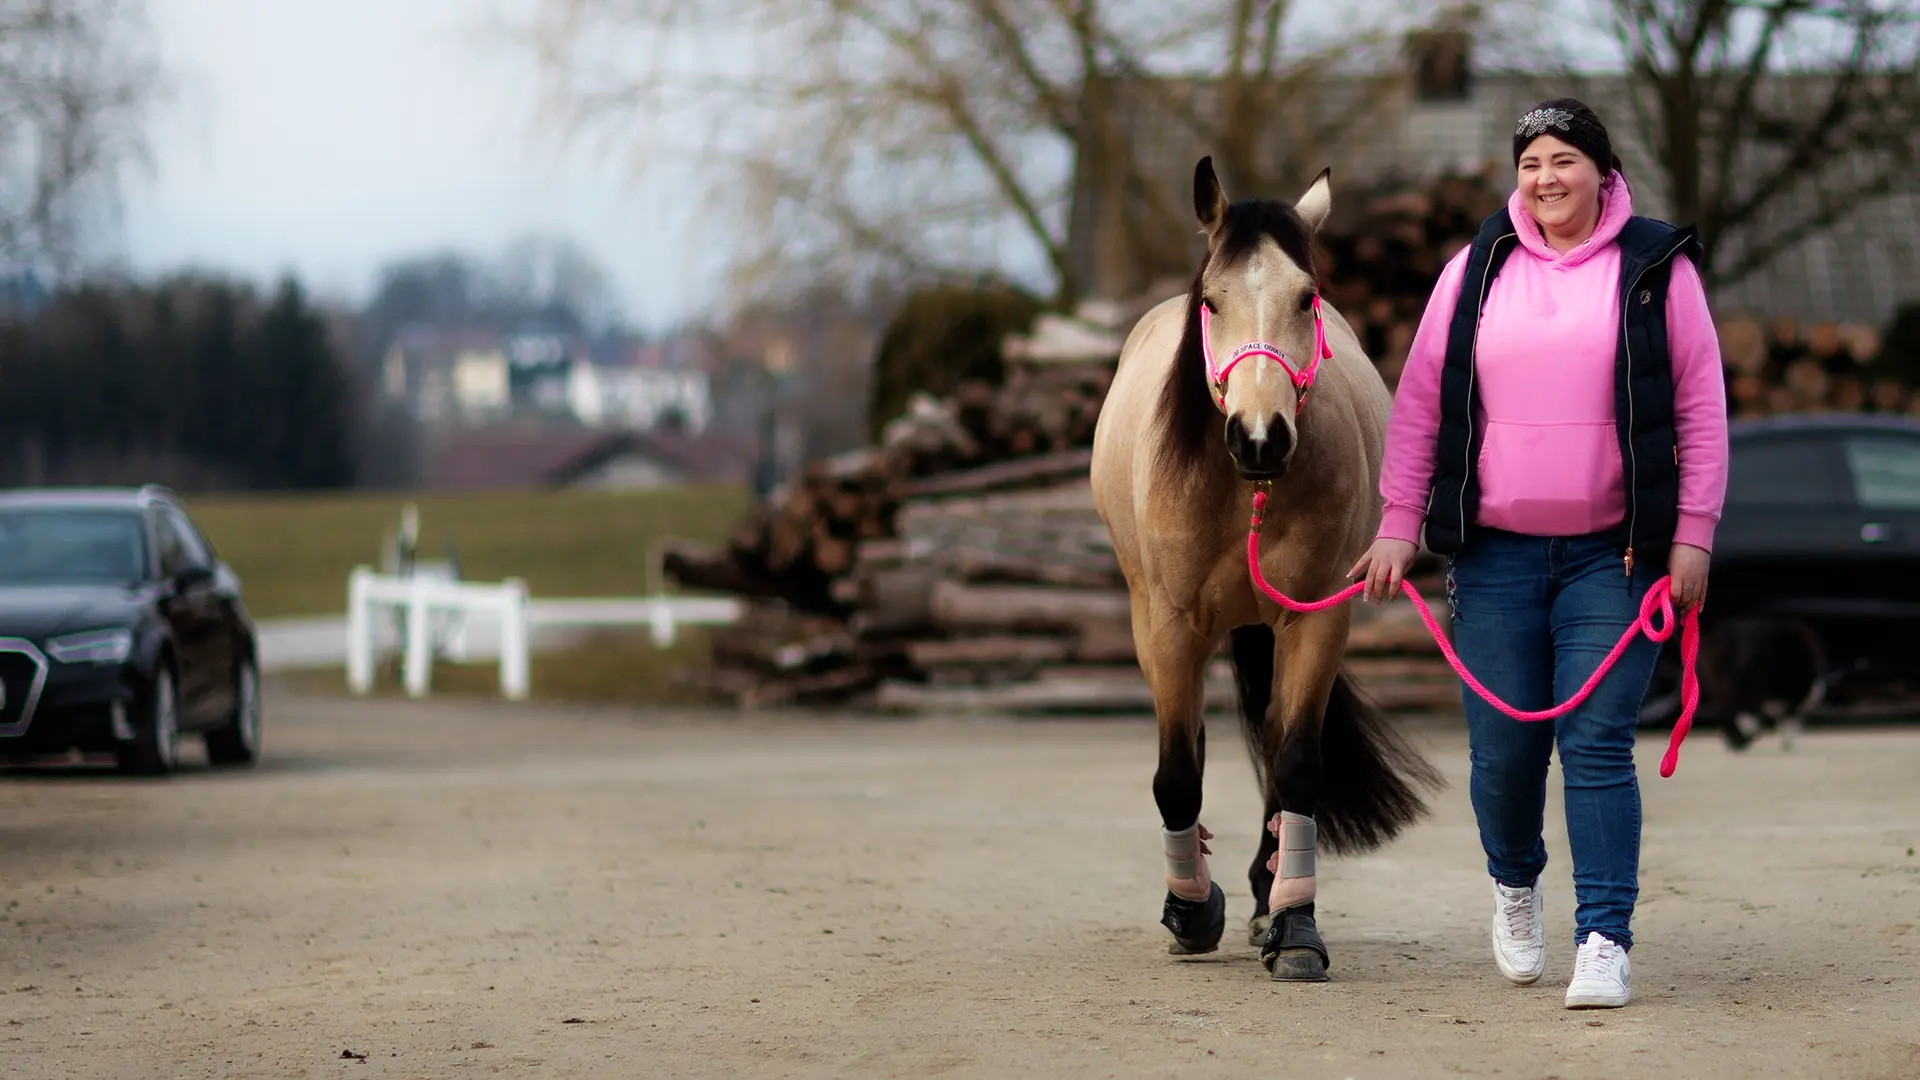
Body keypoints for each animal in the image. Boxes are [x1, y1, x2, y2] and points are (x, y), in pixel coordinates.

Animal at [1090, 157, 1444, 982]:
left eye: (1305, 297)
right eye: (1211, 302)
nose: (1260, 437)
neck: (1241, 488)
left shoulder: (1315, 620)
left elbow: (1298, 765)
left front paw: (1295, 927)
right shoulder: (1169, 626)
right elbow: (1176, 773)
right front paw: (1191, 912)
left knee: (1276, 740)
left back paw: (1265, 888)